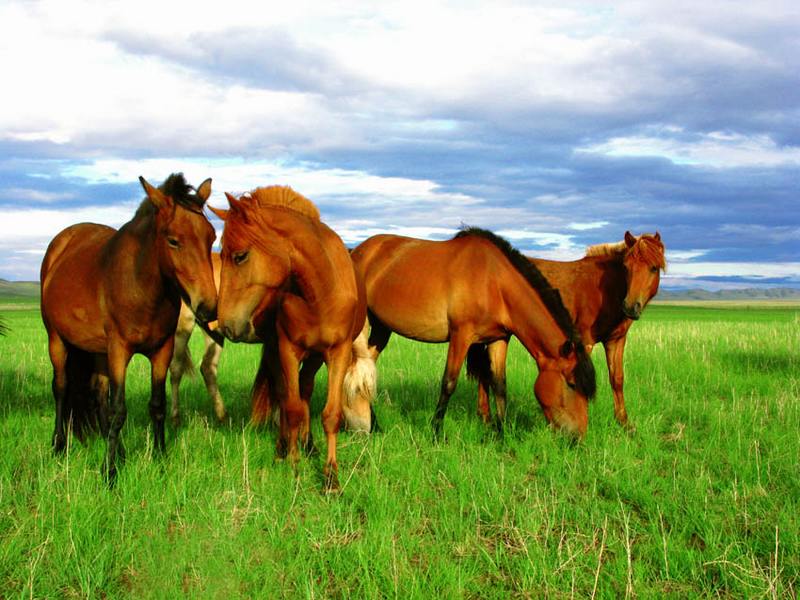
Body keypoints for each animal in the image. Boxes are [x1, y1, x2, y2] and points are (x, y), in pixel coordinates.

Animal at [39, 173, 217, 482]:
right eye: (173, 240)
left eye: (211, 237)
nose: (208, 306)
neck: (141, 286)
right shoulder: (119, 350)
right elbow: (119, 409)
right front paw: (109, 473)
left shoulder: (162, 351)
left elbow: (156, 406)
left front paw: (159, 460)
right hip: (57, 340)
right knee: (61, 388)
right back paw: (59, 446)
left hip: (97, 350)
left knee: (98, 394)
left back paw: (119, 450)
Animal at [212, 185, 376, 490]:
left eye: (240, 256)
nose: (225, 324)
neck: (319, 292)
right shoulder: (288, 349)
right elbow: (292, 408)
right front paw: (294, 464)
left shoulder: (338, 352)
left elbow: (329, 414)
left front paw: (331, 477)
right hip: (277, 349)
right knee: (283, 394)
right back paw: (282, 449)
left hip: (315, 357)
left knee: (306, 389)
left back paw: (308, 444)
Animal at [472, 232, 664, 428]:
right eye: (626, 267)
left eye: (654, 268)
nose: (630, 307)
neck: (606, 289)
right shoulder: (585, 342)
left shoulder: (616, 340)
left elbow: (617, 379)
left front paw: (624, 423)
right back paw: (485, 417)